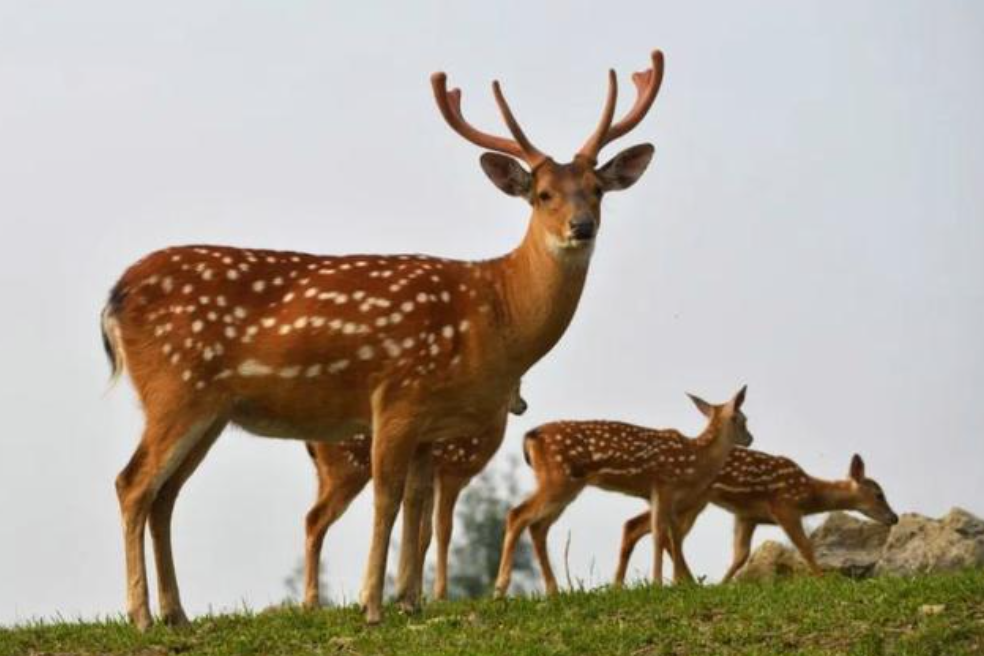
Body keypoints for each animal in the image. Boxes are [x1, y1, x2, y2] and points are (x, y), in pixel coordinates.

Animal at [302, 383, 527, 608]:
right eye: (516, 384)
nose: (523, 405)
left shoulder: (431, 482)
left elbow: (424, 534)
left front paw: (417, 594)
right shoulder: (450, 472)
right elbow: (444, 530)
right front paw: (440, 596)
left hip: (324, 475)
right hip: (348, 470)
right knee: (315, 519)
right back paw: (313, 602)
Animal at [494, 387, 753, 597]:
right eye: (743, 419)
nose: (750, 438)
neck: (695, 459)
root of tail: (530, 437)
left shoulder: (662, 496)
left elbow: (672, 535)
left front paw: (680, 583)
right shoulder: (664, 484)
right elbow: (661, 533)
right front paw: (659, 583)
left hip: (565, 487)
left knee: (538, 526)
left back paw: (552, 590)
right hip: (557, 481)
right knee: (517, 514)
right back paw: (500, 589)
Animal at [613, 451, 899, 585]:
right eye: (879, 494)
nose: (894, 518)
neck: (808, 493)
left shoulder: (747, 515)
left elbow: (741, 555)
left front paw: (723, 585)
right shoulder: (784, 506)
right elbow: (805, 546)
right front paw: (823, 580)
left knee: (638, 525)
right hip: (694, 499)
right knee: (665, 534)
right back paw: (685, 581)